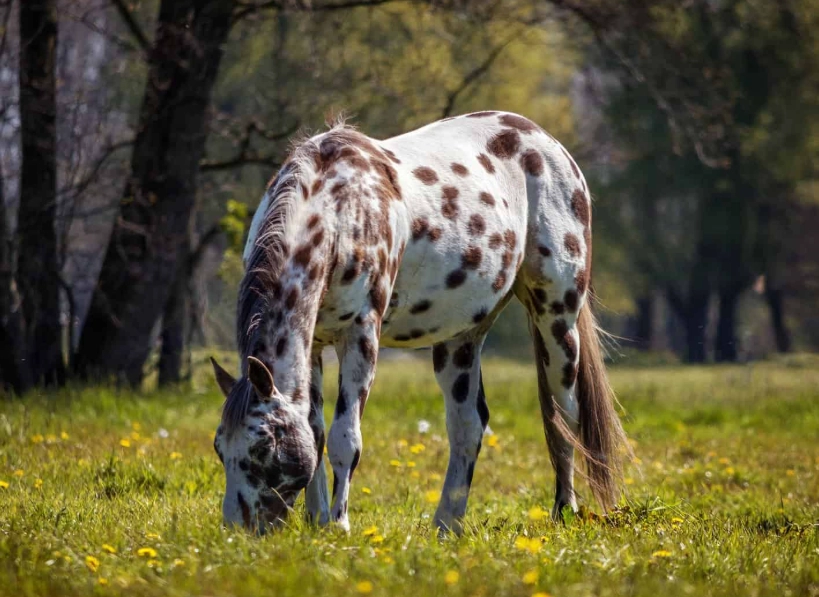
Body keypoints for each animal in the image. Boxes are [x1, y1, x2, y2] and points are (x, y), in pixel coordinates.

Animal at [209, 110, 629, 534]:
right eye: (219, 447)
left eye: (262, 447)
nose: (238, 530)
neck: (340, 210)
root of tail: (547, 142)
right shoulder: (313, 345)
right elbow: (316, 432)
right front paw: (317, 521)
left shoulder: (361, 335)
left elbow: (346, 439)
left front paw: (338, 526)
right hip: (461, 339)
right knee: (467, 427)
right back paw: (447, 525)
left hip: (556, 319)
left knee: (563, 417)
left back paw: (564, 511)